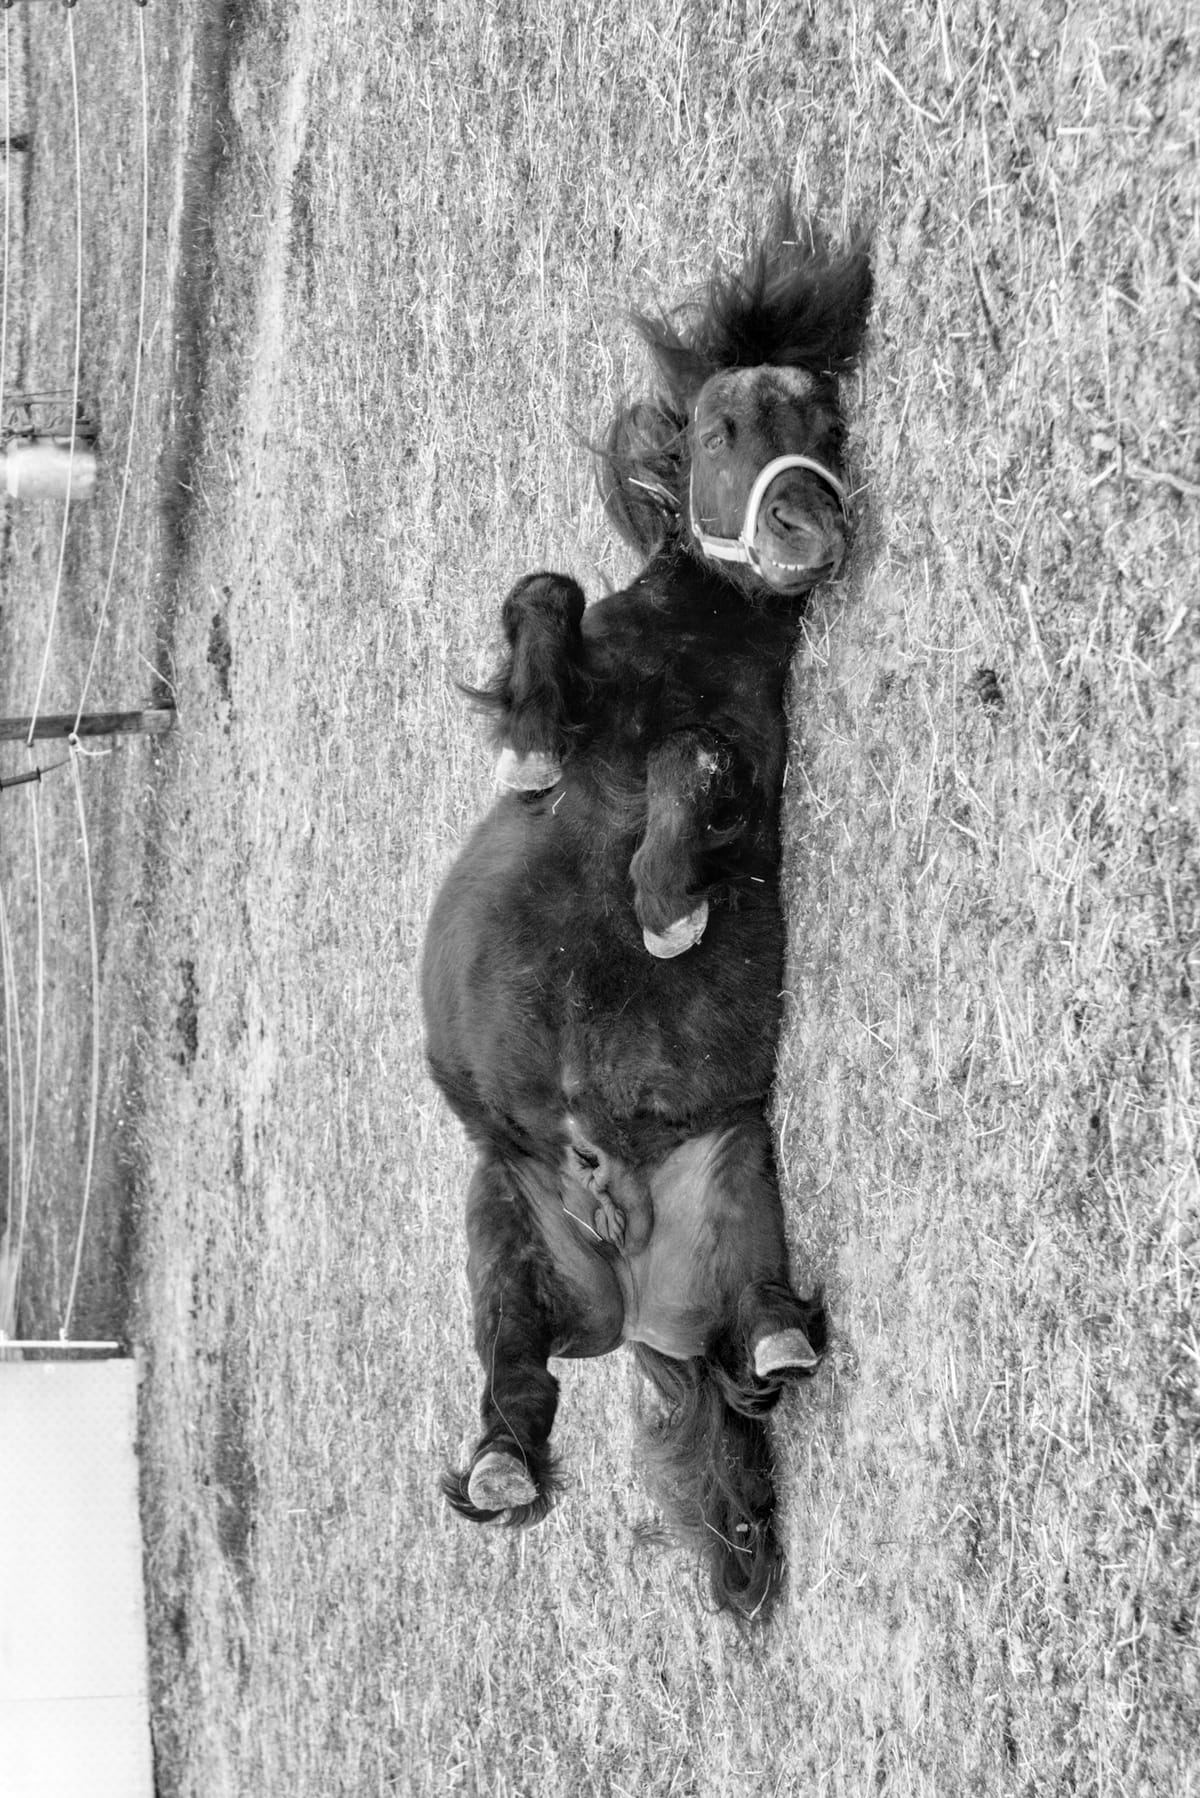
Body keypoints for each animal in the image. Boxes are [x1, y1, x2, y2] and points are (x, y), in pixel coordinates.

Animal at [421, 195, 871, 1620]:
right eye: (724, 427)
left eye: (825, 422)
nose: (807, 535)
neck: (695, 644)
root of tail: (631, 1299)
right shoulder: (598, 666)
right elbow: (545, 595)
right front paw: (526, 754)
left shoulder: (748, 776)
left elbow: (697, 780)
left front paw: (666, 908)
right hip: (503, 1226)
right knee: (515, 1373)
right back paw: (501, 1462)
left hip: (733, 1179)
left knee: (754, 1316)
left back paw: (777, 1338)